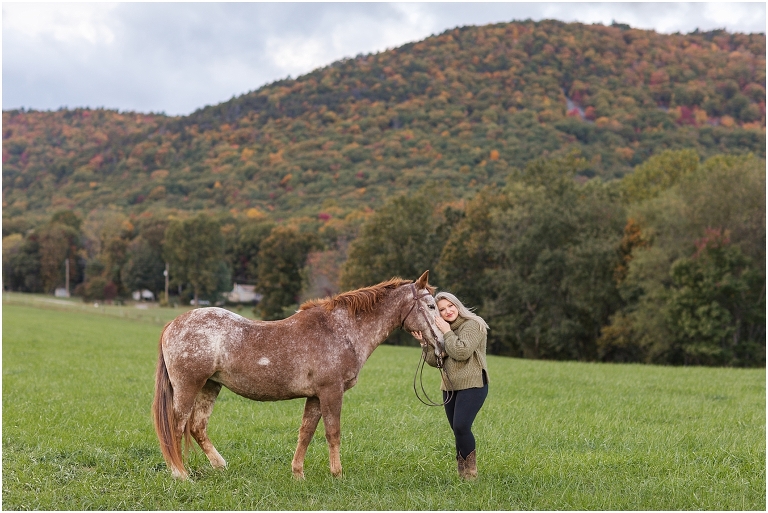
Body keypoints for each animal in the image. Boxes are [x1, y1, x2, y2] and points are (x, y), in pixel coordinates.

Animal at [152, 271, 443, 480]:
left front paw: (298, 474)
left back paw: (220, 466)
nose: (441, 342)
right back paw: (180, 475)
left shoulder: (315, 396)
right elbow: (333, 432)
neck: (340, 329)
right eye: (430, 306)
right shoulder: (331, 391)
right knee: (176, 427)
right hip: (188, 387)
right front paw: (337, 474)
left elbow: (306, 432)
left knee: (197, 427)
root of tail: (172, 324)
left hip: (210, 386)